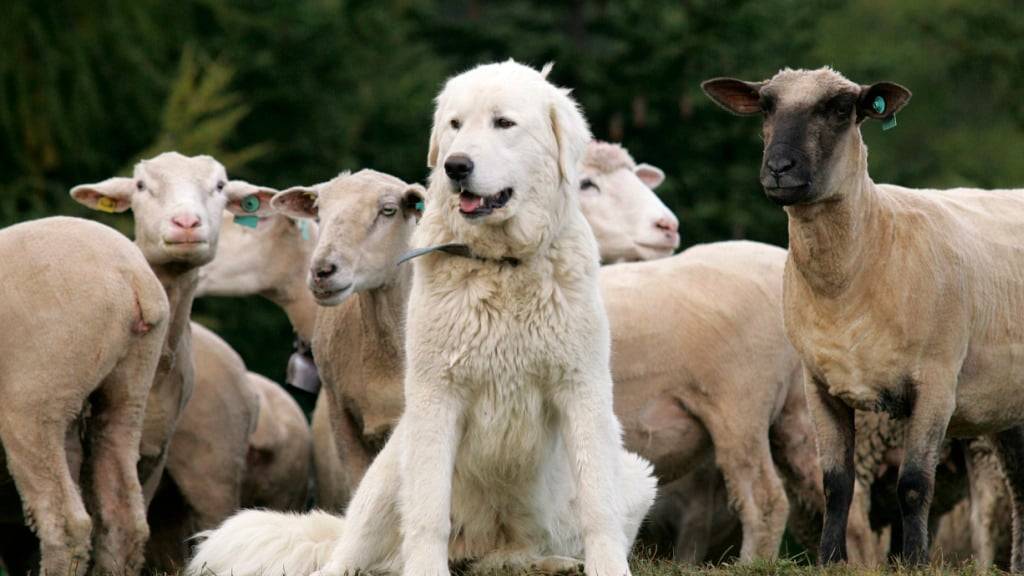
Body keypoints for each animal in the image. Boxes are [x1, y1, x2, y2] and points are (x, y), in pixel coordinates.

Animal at [187, 60, 651, 573]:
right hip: (389, 464)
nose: (456, 166)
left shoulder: (582, 388)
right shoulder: (434, 396)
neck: (503, 265)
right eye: (454, 125)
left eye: (503, 123)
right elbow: (429, 511)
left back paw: (550, 562)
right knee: (354, 549)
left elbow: (598, 504)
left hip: (633, 476)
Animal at [700, 66, 1024, 565]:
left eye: (838, 109)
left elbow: (913, 486)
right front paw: (831, 560)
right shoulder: (820, 385)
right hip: (1008, 409)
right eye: (766, 106)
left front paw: (914, 562)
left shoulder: (936, 384)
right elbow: (836, 484)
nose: (779, 169)